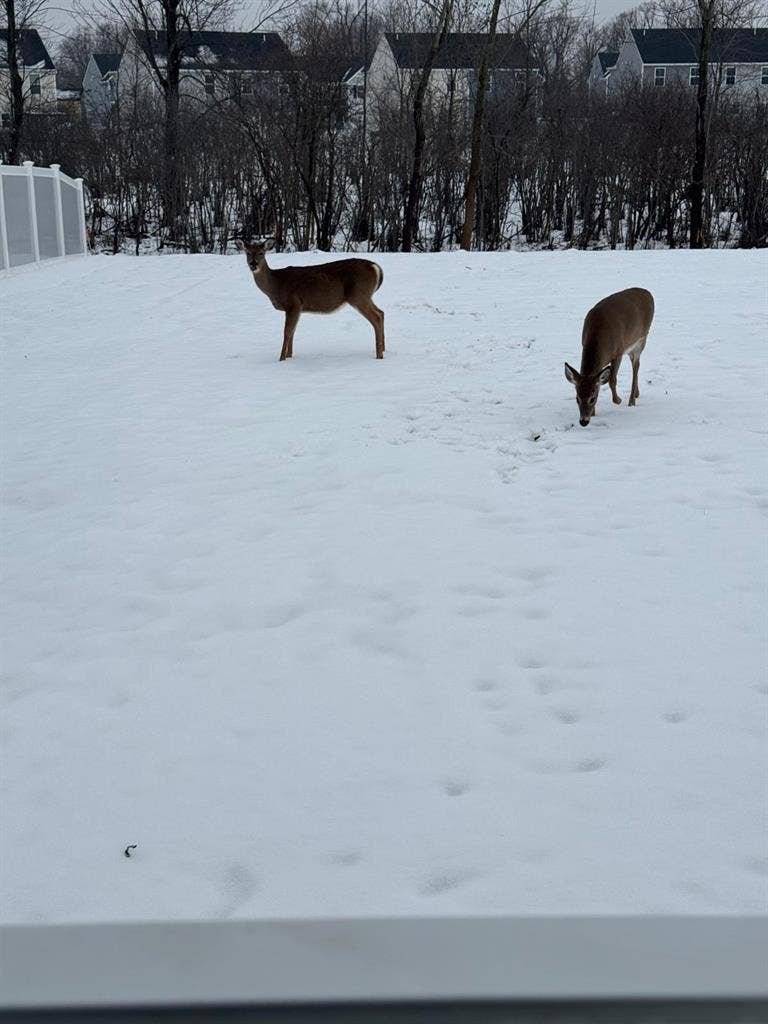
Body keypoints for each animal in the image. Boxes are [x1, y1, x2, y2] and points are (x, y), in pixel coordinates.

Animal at [237, 237, 387, 362]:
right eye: (248, 253)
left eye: (261, 253)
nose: (253, 264)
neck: (276, 285)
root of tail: (376, 267)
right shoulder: (297, 308)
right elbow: (293, 332)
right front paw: (289, 356)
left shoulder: (294, 303)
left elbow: (287, 332)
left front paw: (281, 359)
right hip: (365, 296)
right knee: (381, 312)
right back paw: (384, 349)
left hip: (359, 295)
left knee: (376, 318)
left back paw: (379, 355)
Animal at [565, 286, 655, 425]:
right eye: (577, 398)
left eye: (592, 398)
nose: (583, 421)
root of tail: (646, 292)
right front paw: (594, 413)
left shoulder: (618, 352)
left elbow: (612, 380)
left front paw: (618, 400)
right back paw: (636, 394)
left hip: (641, 339)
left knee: (636, 366)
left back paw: (631, 401)